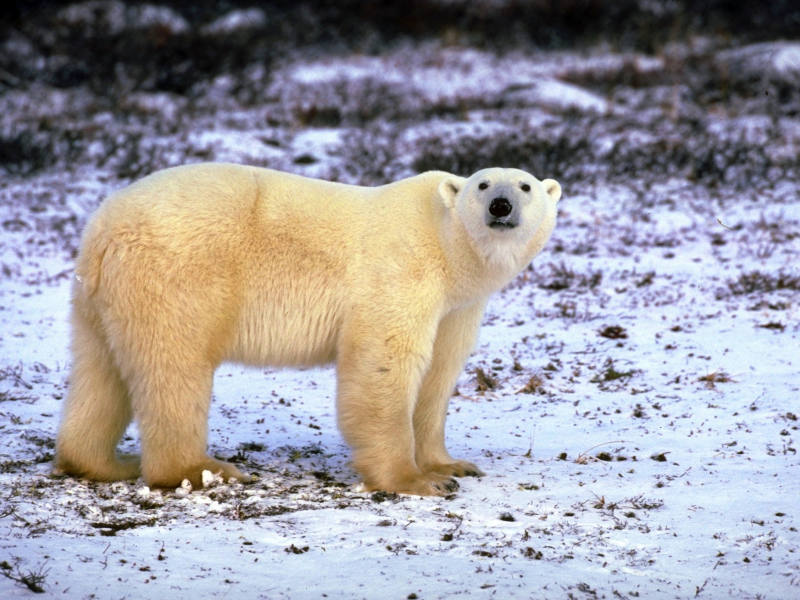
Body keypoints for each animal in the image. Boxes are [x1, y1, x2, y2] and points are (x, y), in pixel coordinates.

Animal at [54, 165, 564, 496]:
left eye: (525, 186)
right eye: (482, 184)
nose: (501, 206)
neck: (446, 244)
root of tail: (104, 227)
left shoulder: (458, 307)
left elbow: (439, 372)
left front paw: (451, 463)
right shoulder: (401, 269)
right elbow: (384, 362)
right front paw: (418, 480)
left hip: (99, 297)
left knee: (99, 370)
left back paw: (103, 463)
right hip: (179, 275)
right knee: (174, 366)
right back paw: (202, 469)